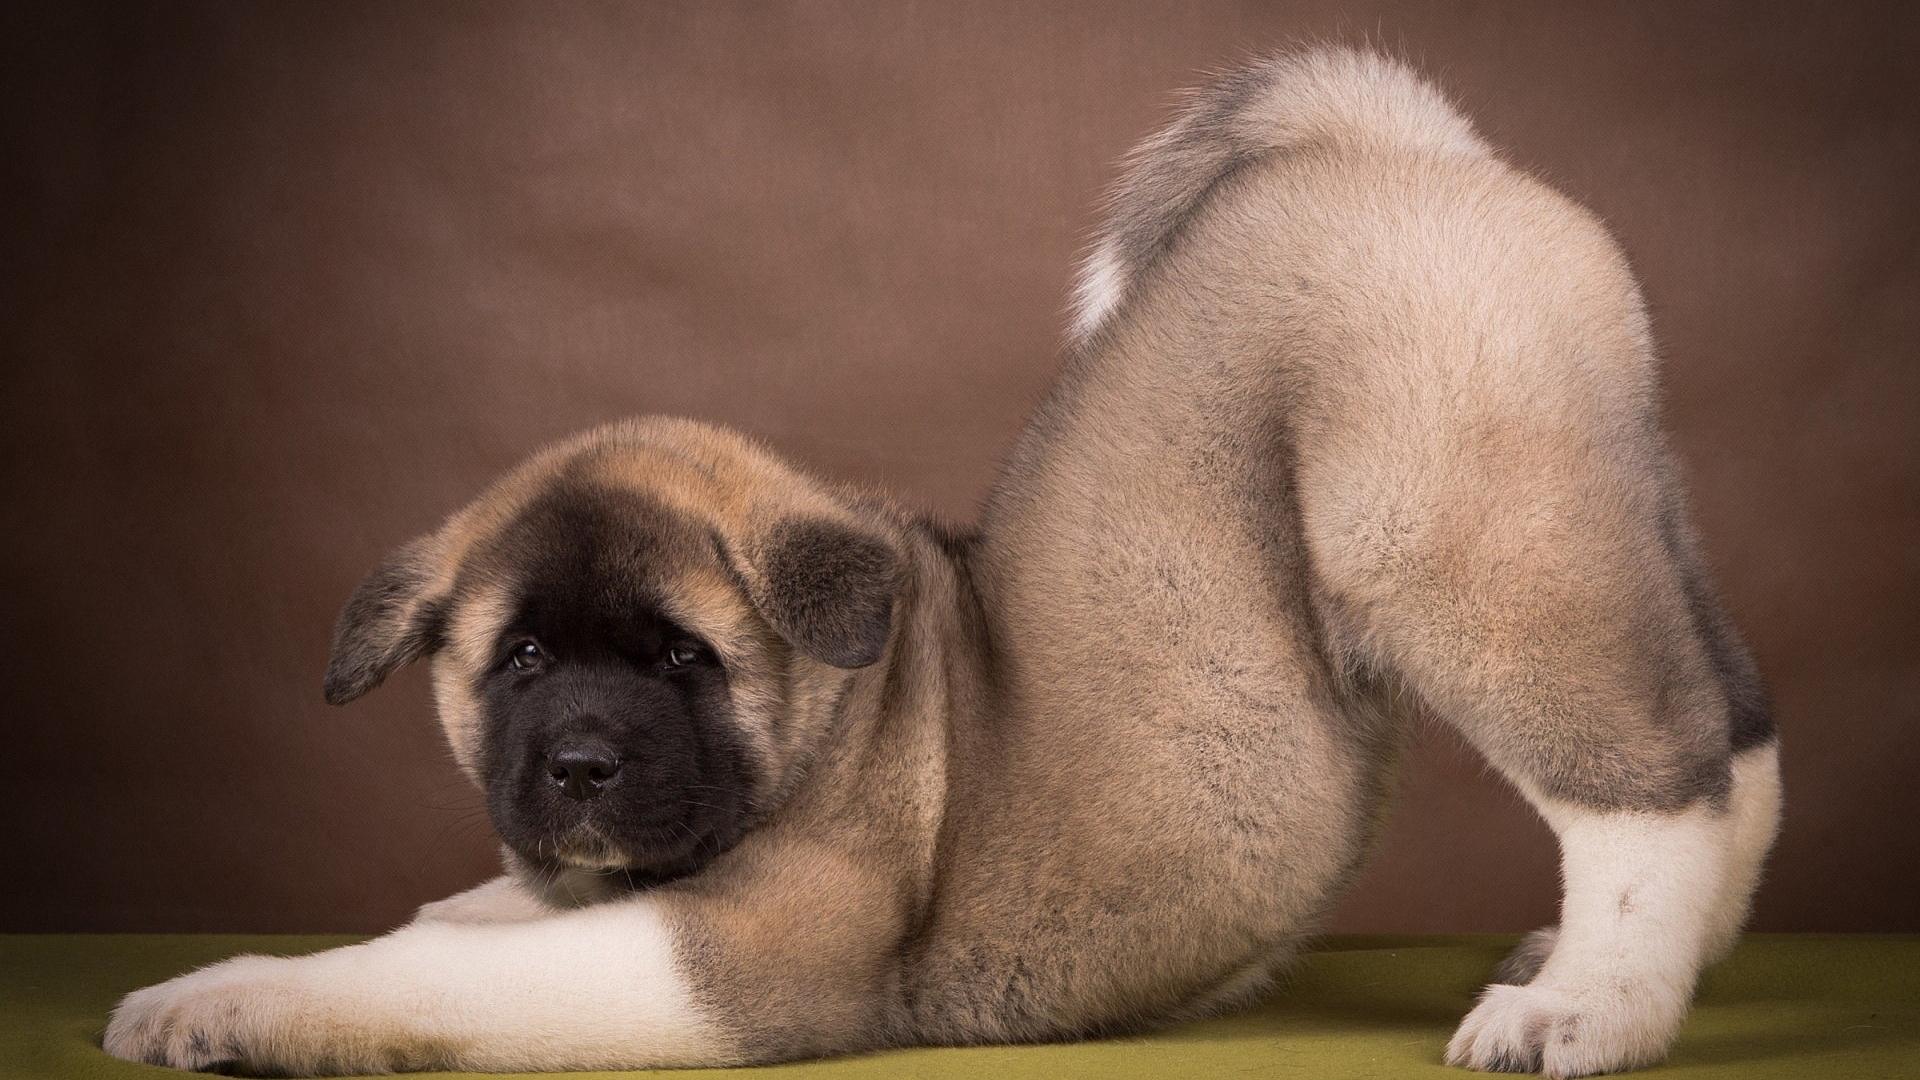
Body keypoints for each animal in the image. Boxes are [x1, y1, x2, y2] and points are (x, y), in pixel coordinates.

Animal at [105, 46, 1781, 1068]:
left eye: (679, 661)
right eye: (517, 660)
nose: (578, 765)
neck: (838, 709)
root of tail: (1384, 150)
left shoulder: (741, 957)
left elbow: (431, 976)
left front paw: (224, 997)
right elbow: (448, 922)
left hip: (1463, 541)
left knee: (1647, 779)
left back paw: (1594, 1006)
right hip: (1609, 509)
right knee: (1733, 724)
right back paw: (1646, 961)